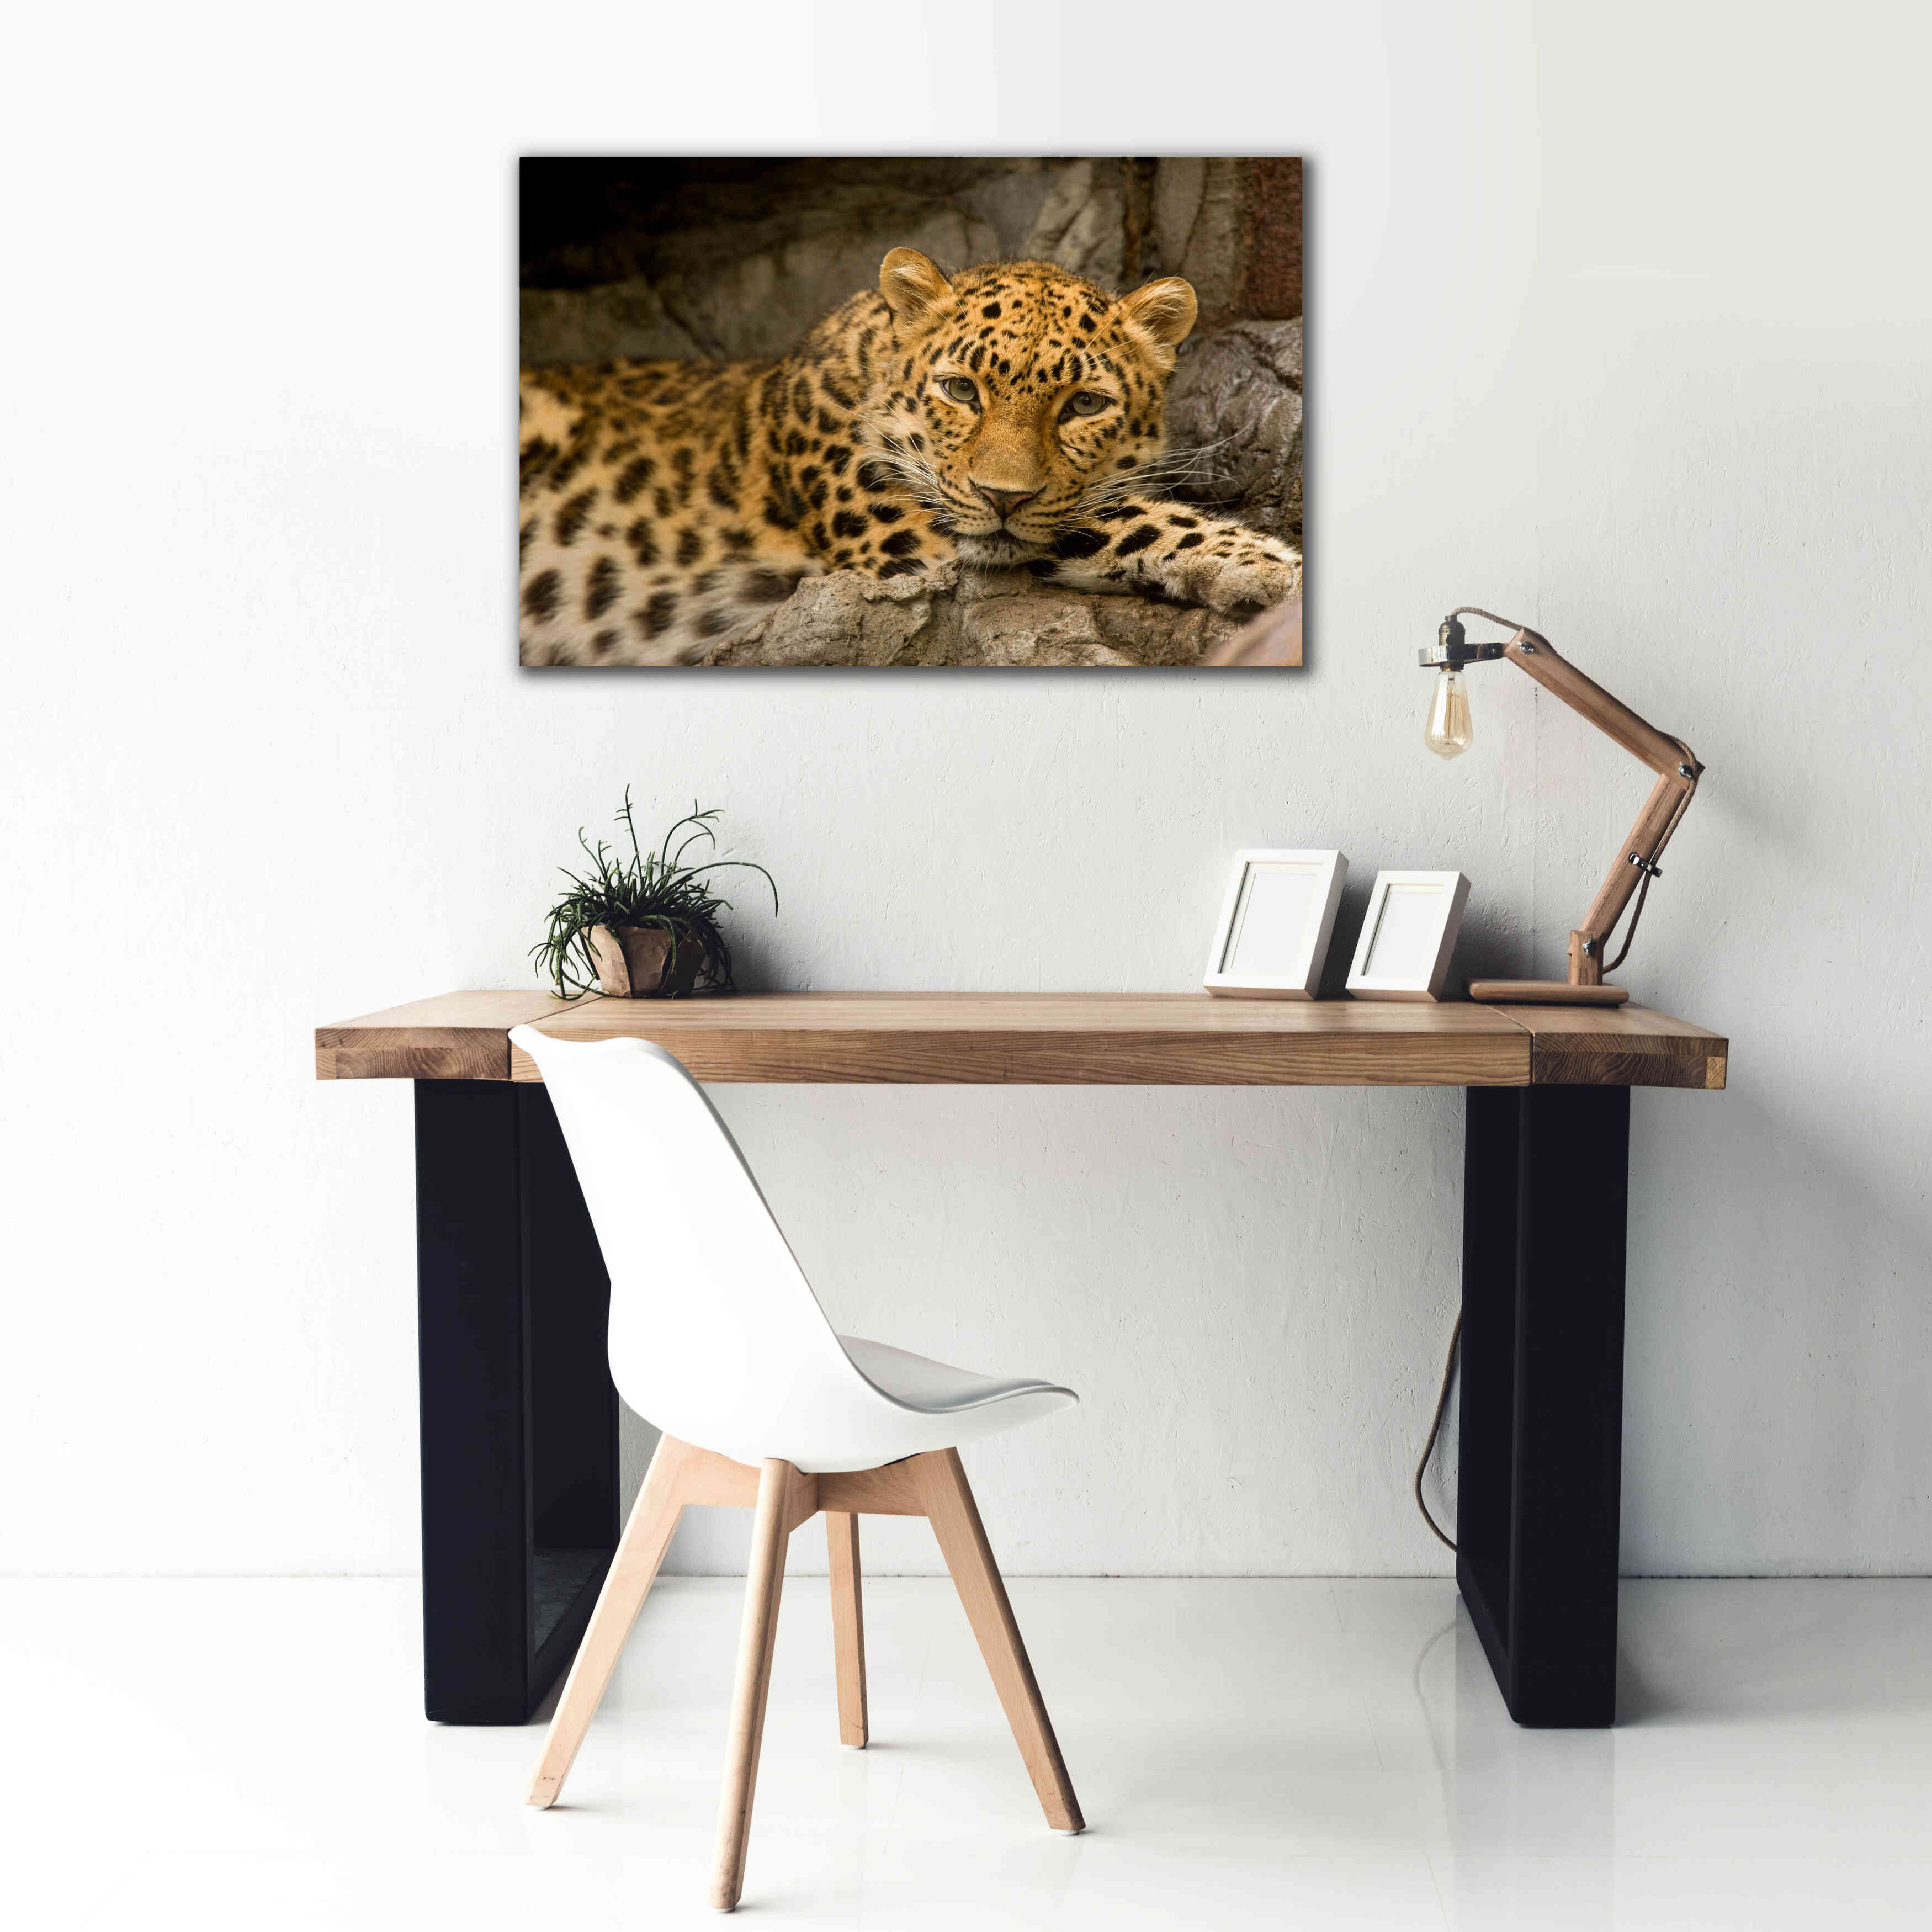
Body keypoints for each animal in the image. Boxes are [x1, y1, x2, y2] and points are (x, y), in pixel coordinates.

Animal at [519, 248, 1301, 666]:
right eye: (960, 390)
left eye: (1083, 404)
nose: (1003, 495)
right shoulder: (910, 535)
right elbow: (1122, 517)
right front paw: (1271, 565)